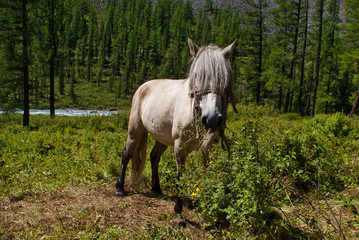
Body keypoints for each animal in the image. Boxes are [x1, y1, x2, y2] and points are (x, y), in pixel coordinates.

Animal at [116, 37, 238, 216]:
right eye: (197, 75)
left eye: (224, 78)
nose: (212, 119)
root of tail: (143, 86)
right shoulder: (179, 146)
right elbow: (181, 176)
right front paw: (178, 211)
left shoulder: (207, 149)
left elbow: (208, 171)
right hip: (135, 131)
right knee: (127, 154)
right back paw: (119, 188)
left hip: (162, 138)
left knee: (154, 157)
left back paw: (156, 188)